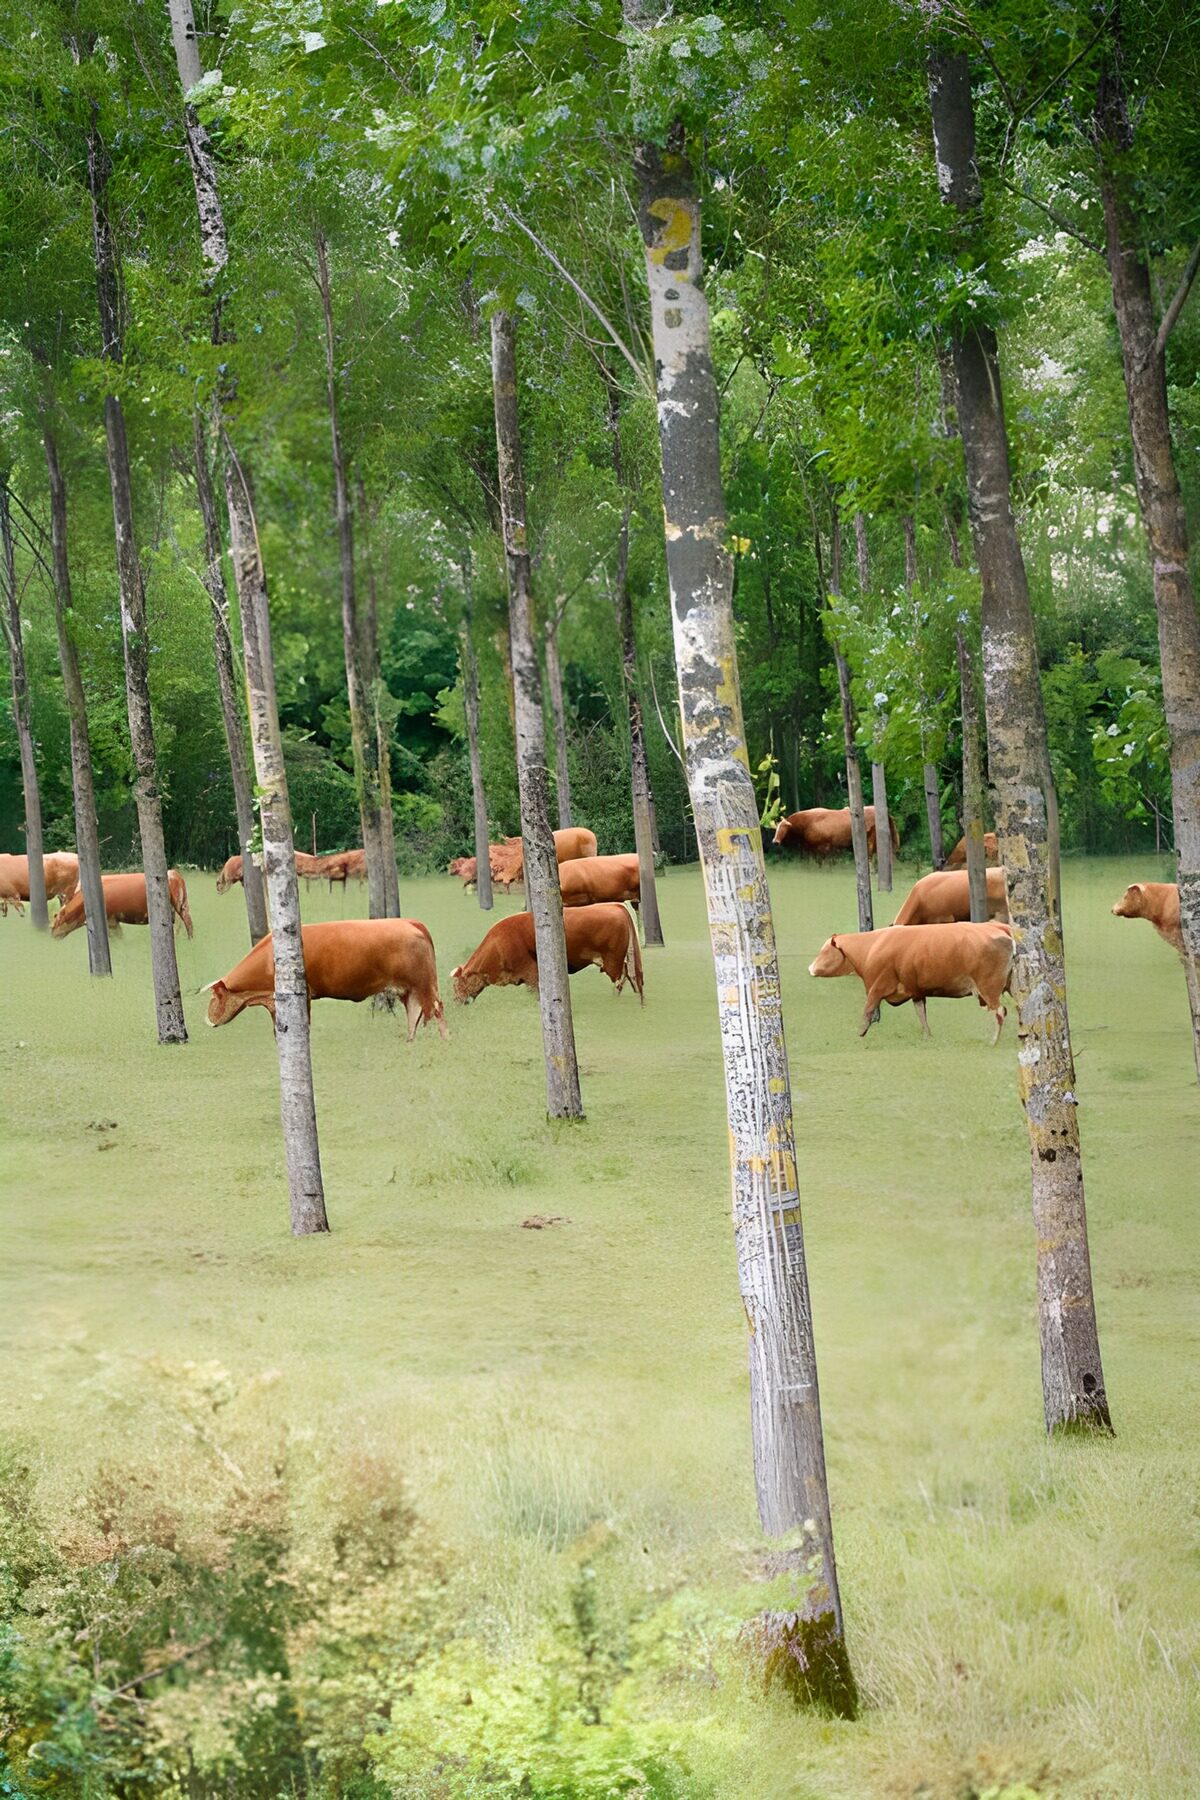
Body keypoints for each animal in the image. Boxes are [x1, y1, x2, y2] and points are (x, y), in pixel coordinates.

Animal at [52, 871, 193, 940]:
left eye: (55, 924)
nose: (52, 935)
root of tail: (173, 873)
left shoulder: (111, 921)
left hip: (178, 907)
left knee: (186, 924)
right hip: (182, 906)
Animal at [203, 919, 448, 1039]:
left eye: (216, 997)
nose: (208, 1019)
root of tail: (410, 922)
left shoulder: (303, 994)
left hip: (423, 984)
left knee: (436, 1009)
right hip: (409, 990)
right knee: (415, 1013)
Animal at [452, 903, 643, 1004]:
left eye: (458, 986)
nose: (457, 1002)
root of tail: (614, 905)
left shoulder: (531, 972)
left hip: (612, 960)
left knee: (620, 979)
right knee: (631, 976)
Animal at [808, 920, 1015, 1042]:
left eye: (825, 951)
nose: (810, 968)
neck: (872, 947)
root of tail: (998, 926)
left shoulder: (876, 987)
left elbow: (867, 1012)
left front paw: (859, 1034)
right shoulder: (916, 991)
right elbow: (921, 1015)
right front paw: (927, 1037)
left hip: (989, 988)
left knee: (1000, 1012)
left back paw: (993, 1041)